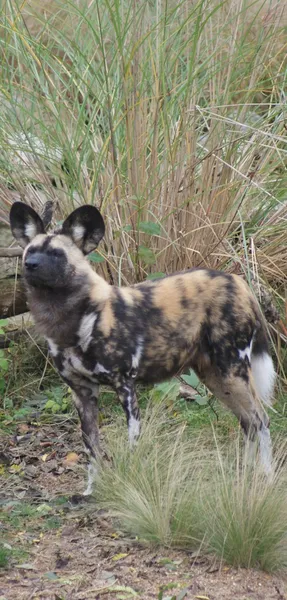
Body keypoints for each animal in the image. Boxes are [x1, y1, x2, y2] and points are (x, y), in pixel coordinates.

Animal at [10, 202, 276, 492]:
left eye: (56, 254)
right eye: (30, 251)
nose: (30, 265)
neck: (73, 321)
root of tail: (238, 282)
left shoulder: (125, 386)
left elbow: (133, 444)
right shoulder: (82, 393)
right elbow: (92, 449)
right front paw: (90, 492)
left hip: (232, 371)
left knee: (261, 420)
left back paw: (265, 478)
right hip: (217, 379)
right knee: (248, 422)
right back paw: (244, 477)